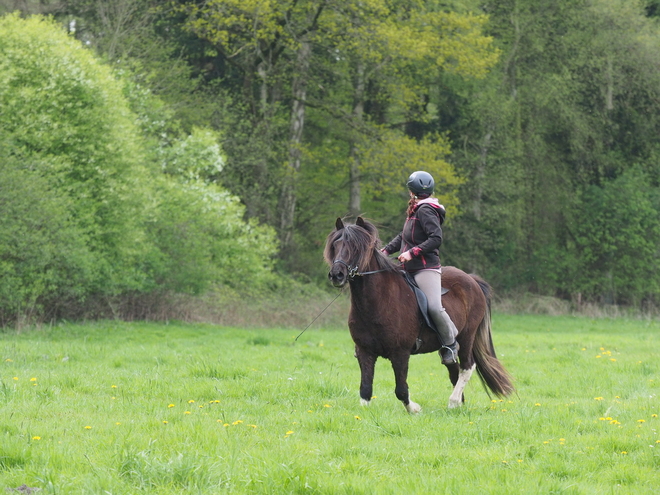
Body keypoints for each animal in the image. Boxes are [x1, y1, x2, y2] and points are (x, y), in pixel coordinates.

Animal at [324, 219, 516, 412]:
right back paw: (458, 404)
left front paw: (415, 409)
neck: (377, 302)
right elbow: (365, 389)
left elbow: (401, 389)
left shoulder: (400, 353)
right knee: (453, 369)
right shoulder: (364, 351)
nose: (336, 275)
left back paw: (453, 402)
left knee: (467, 367)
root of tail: (472, 280)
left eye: (356, 247)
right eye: (335, 245)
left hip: (467, 336)